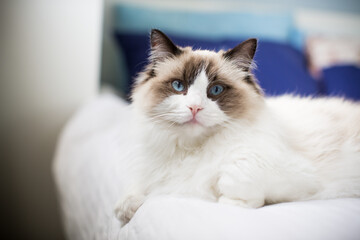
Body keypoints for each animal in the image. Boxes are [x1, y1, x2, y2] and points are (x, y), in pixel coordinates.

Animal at [114, 29, 360, 225]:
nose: (194, 108)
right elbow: (137, 194)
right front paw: (126, 210)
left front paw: (230, 199)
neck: (189, 149)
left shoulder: (298, 175)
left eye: (215, 90)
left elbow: (232, 177)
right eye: (178, 86)